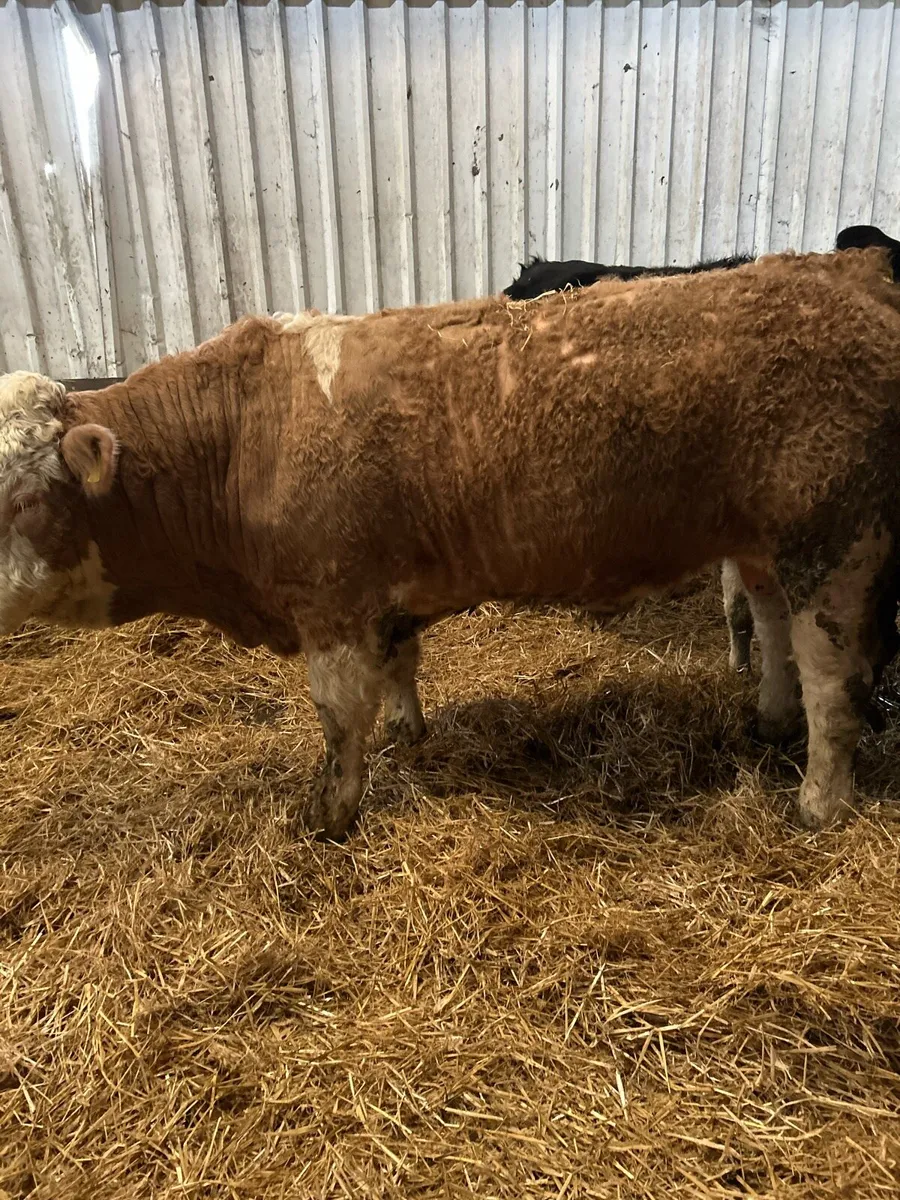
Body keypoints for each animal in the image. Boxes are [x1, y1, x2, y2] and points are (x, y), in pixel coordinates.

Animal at [1, 249, 899, 841]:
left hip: (836, 542)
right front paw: (409, 730)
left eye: (20, 497)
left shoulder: (331, 603)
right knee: (772, 627)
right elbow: (400, 666)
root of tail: (847, 271)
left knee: (834, 681)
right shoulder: (379, 597)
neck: (242, 435)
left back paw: (819, 803)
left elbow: (338, 718)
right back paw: (770, 720)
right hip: (762, 542)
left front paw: (330, 812)